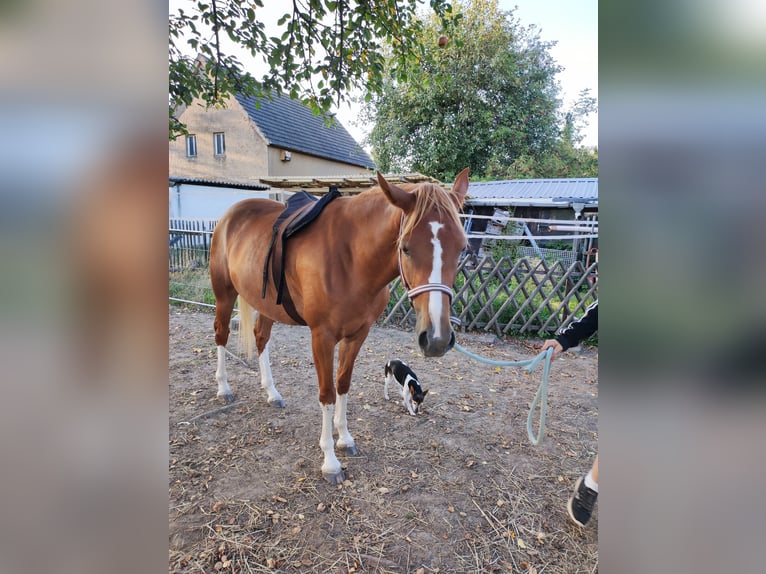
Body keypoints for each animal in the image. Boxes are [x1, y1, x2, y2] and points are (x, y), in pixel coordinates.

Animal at [213, 169, 472, 484]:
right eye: (406, 248)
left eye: (462, 248)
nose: (436, 339)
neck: (351, 258)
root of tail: (231, 215)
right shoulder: (322, 337)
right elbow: (327, 394)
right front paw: (330, 461)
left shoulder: (357, 335)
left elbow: (343, 385)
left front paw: (345, 438)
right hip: (224, 294)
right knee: (221, 335)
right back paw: (223, 387)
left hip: (266, 306)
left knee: (261, 338)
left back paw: (272, 393)